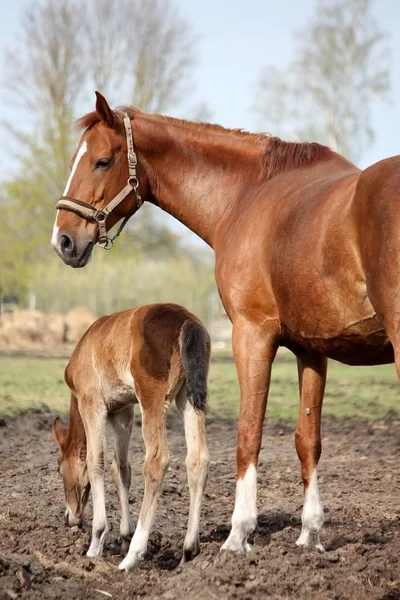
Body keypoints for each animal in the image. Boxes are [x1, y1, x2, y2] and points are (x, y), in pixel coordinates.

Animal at [52, 304, 211, 572]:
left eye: (59, 468)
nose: (69, 518)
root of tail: (186, 321)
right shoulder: (122, 412)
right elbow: (121, 469)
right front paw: (124, 536)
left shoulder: (91, 403)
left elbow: (96, 462)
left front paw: (96, 542)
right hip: (187, 398)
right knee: (198, 459)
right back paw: (189, 550)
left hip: (152, 397)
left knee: (157, 461)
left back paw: (133, 556)